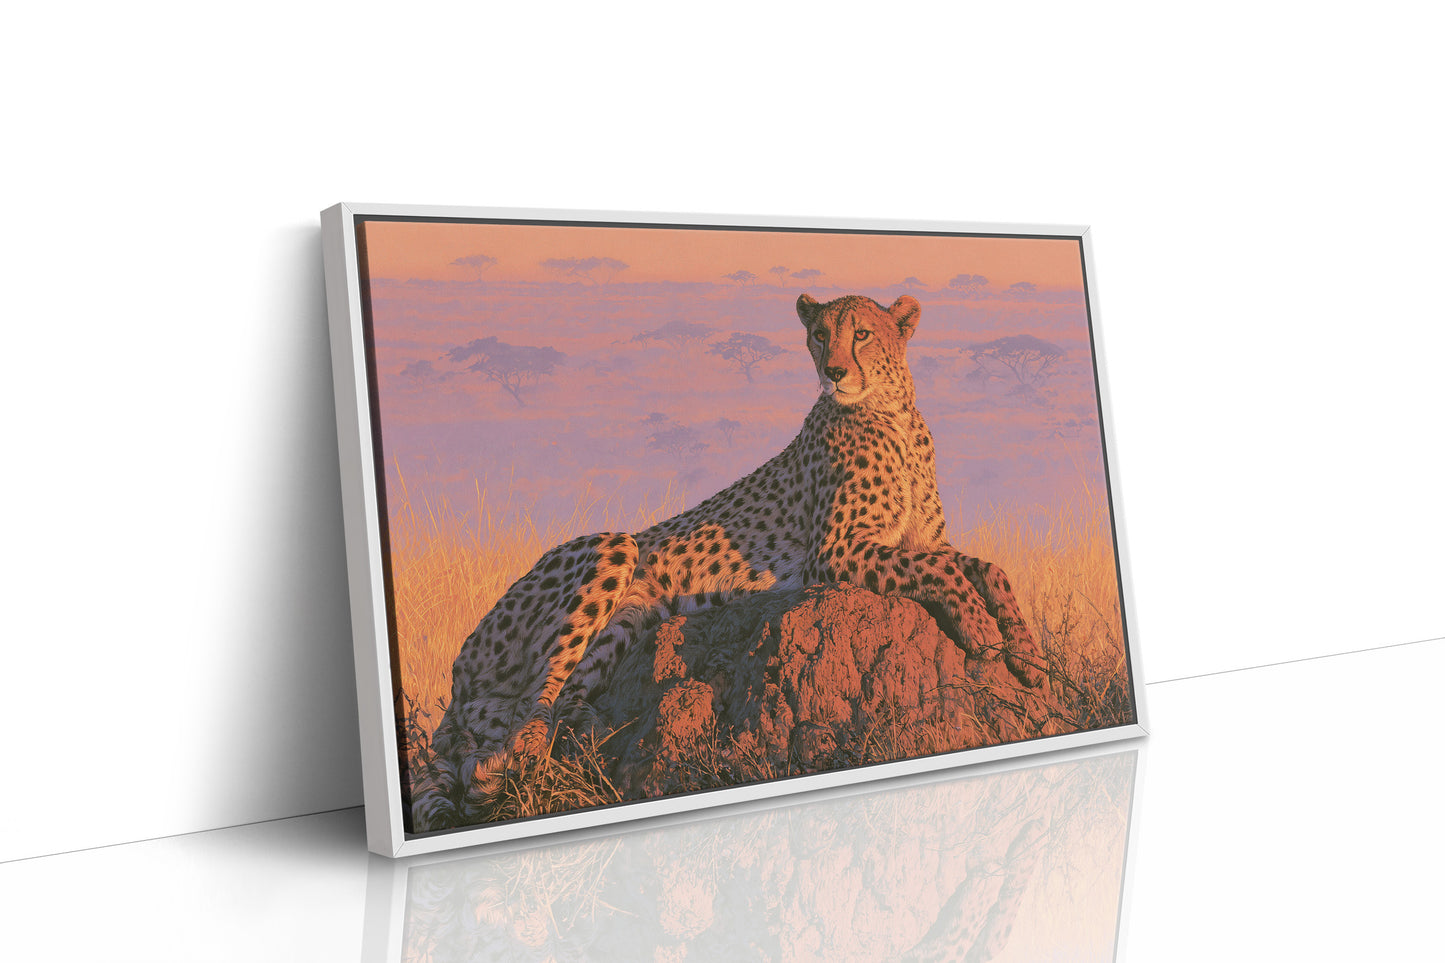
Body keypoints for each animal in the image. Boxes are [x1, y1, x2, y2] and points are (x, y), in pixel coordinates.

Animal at [410, 292, 1047, 832]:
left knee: (556, 700)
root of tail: (457, 679)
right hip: (614, 547)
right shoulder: (837, 552)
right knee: (529, 706)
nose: (834, 371)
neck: (890, 412)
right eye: (820, 335)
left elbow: (988, 567)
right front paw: (982, 630)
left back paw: (562, 746)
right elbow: (948, 573)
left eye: (862, 334)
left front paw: (1030, 658)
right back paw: (513, 760)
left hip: (633, 619)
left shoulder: (922, 542)